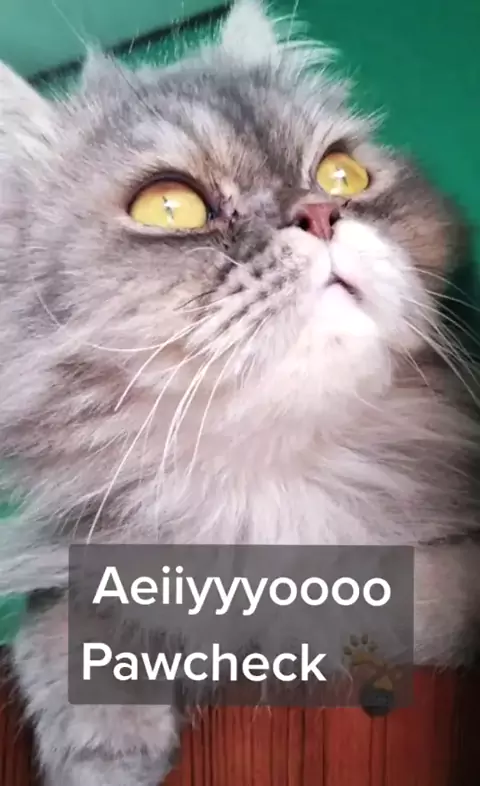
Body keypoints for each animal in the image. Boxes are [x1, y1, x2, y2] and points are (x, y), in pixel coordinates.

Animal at [0, 1, 479, 784]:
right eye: (169, 208)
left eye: (340, 174)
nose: (320, 214)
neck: (274, 480)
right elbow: (64, 620)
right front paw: (103, 746)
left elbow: (376, 601)